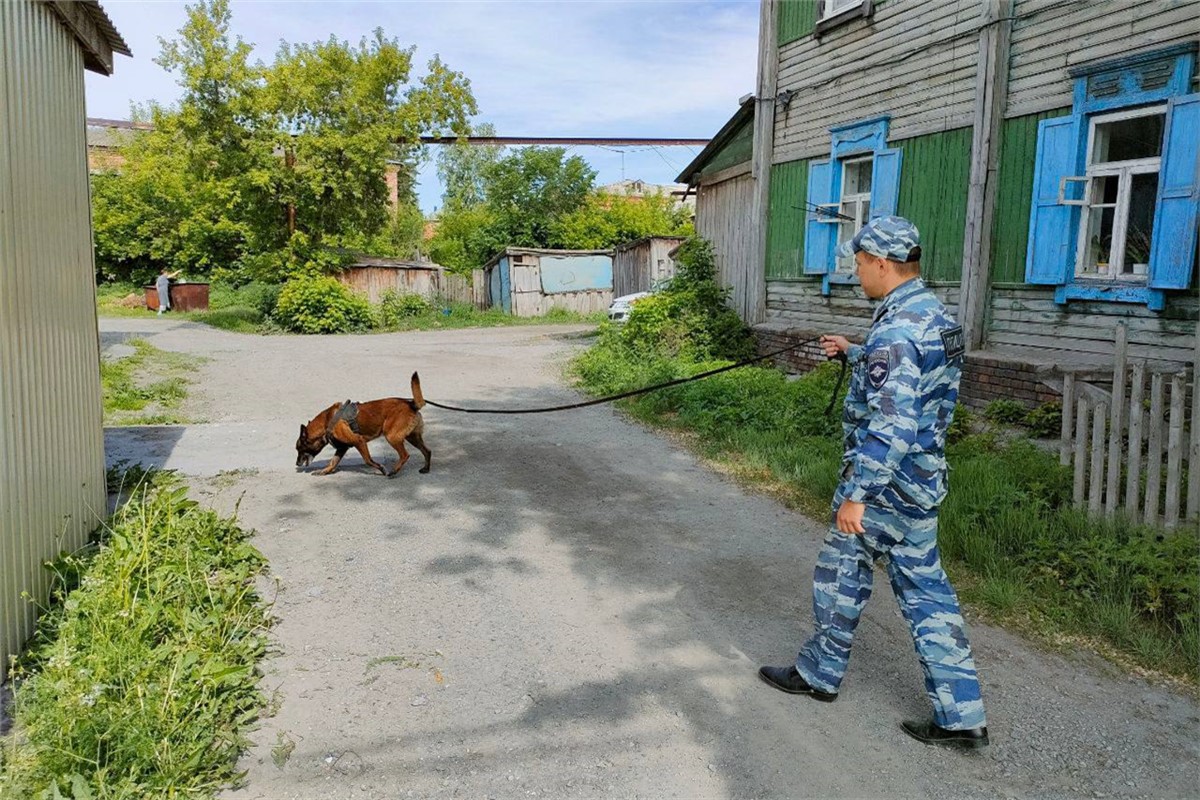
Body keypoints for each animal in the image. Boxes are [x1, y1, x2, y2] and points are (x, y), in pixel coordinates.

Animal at [295, 374, 432, 479]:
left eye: (299, 449)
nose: (297, 463)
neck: (327, 421)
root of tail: (411, 404)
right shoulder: (342, 448)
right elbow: (333, 462)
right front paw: (324, 471)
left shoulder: (359, 441)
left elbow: (368, 460)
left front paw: (381, 469)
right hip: (412, 437)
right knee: (427, 451)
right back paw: (426, 468)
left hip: (392, 437)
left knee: (405, 455)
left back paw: (394, 471)